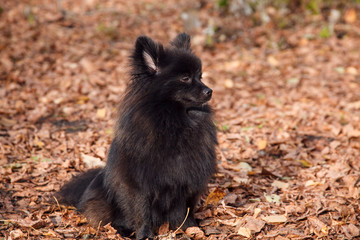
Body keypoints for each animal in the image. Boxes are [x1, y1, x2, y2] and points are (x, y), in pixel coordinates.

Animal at [58, 32, 217, 239]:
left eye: (200, 76)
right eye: (185, 78)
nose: (209, 91)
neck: (173, 121)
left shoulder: (182, 178)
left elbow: (182, 210)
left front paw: (189, 228)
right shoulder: (137, 182)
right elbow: (141, 211)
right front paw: (145, 234)